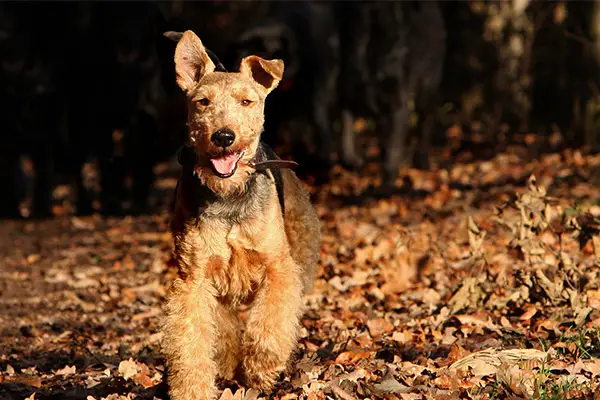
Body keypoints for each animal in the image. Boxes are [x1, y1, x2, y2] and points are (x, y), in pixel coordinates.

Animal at [158, 29, 318, 398]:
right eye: (203, 102)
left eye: (247, 101)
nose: (223, 136)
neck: (228, 196)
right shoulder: (195, 279)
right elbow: (193, 340)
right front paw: (193, 389)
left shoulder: (277, 267)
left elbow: (271, 323)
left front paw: (260, 370)